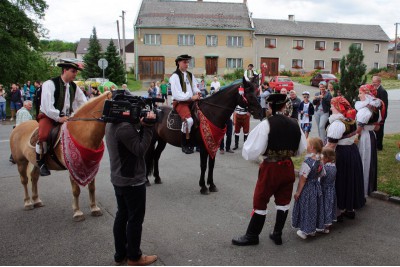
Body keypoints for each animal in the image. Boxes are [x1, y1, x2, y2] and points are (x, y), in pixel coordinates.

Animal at [9, 92, 112, 222]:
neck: (79, 133)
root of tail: (18, 127)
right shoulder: (73, 168)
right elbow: (76, 190)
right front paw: (77, 212)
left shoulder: (90, 166)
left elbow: (92, 188)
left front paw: (94, 208)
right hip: (21, 162)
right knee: (24, 180)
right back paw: (28, 202)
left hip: (36, 163)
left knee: (34, 177)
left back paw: (36, 200)